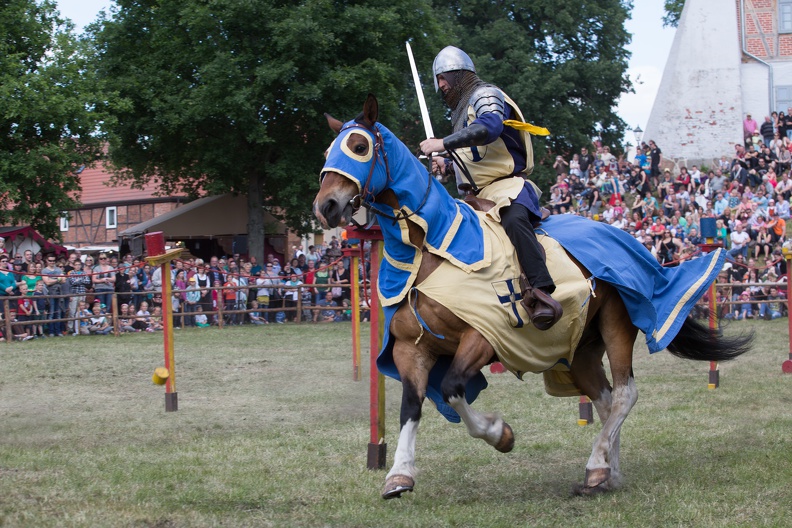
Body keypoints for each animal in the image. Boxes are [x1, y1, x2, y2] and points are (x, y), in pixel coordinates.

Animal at [312, 94, 752, 500]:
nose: (326, 207)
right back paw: (607, 471)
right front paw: (399, 474)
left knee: (626, 394)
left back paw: (597, 464)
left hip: (616, 326)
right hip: (580, 349)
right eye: (328, 152)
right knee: (607, 400)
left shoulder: (483, 337)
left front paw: (499, 434)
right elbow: (411, 406)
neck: (429, 249)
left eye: (359, 146)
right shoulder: (410, 349)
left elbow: (453, 388)